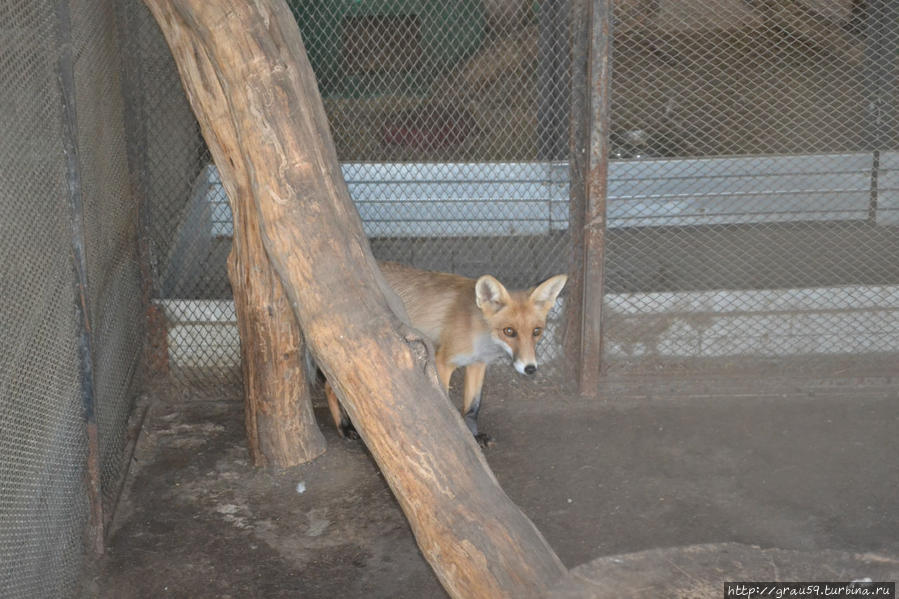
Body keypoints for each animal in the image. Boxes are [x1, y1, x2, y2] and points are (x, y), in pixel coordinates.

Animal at [326, 262, 568, 446]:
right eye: (509, 331)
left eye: (536, 332)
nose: (530, 368)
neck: (478, 333)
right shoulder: (443, 361)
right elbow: (447, 405)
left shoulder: (478, 364)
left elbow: (472, 408)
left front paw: (473, 436)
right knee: (330, 386)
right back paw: (344, 428)